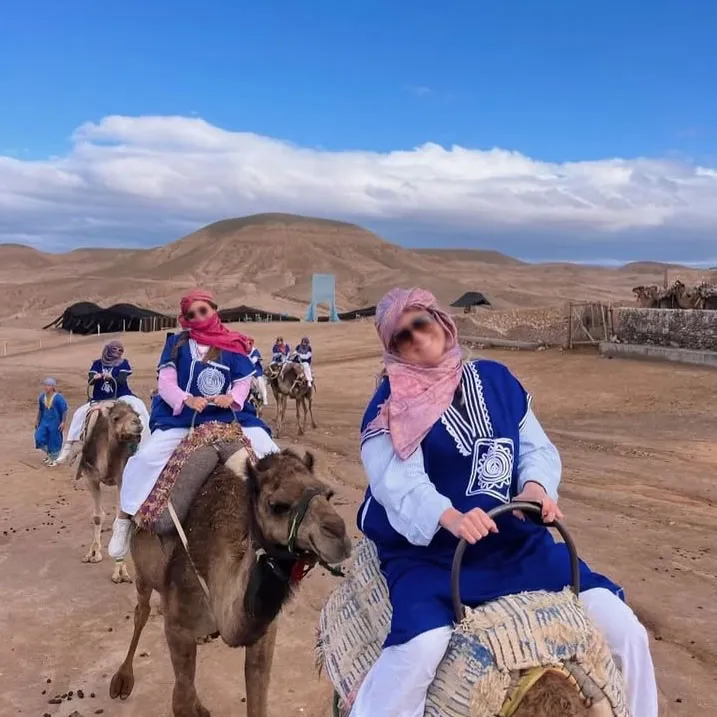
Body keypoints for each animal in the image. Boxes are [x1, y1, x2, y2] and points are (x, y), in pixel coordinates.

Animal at [76, 400, 143, 584]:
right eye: (116, 418)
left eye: (137, 414)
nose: (137, 423)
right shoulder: (90, 477)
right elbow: (97, 516)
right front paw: (93, 553)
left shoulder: (122, 479)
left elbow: (120, 521)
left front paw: (120, 571)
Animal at [108, 448, 350, 716]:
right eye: (278, 506)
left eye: (328, 494)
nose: (338, 533)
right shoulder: (177, 628)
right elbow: (180, 701)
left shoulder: (265, 634)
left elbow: (257, 704)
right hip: (142, 569)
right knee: (142, 610)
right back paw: (123, 679)